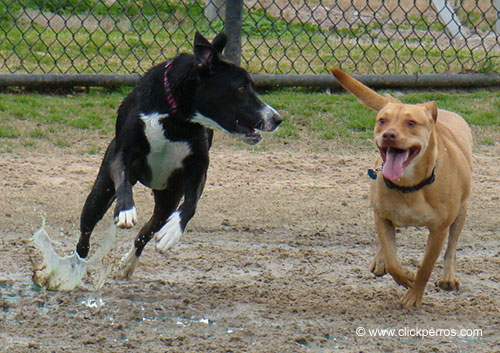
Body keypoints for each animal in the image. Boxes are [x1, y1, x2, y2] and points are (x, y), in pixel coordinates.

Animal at [77, 31, 282, 276]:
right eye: (241, 87)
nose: (277, 118)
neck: (176, 119)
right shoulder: (122, 154)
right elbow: (123, 180)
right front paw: (126, 209)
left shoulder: (198, 168)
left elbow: (191, 204)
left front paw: (173, 231)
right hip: (100, 193)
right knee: (85, 235)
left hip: (168, 198)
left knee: (147, 231)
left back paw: (128, 263)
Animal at [332, 68, 472, 306]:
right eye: (382, 120)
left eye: (411, 123)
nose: (389, 134)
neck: (410, 186)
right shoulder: (381, 215)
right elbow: (392, 259)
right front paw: (404, 276)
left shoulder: (439, 230)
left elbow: (426, 266)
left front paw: (413, 297)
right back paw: (380, 260)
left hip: (460, 212)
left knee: (452, 246)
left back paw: (448, 277)